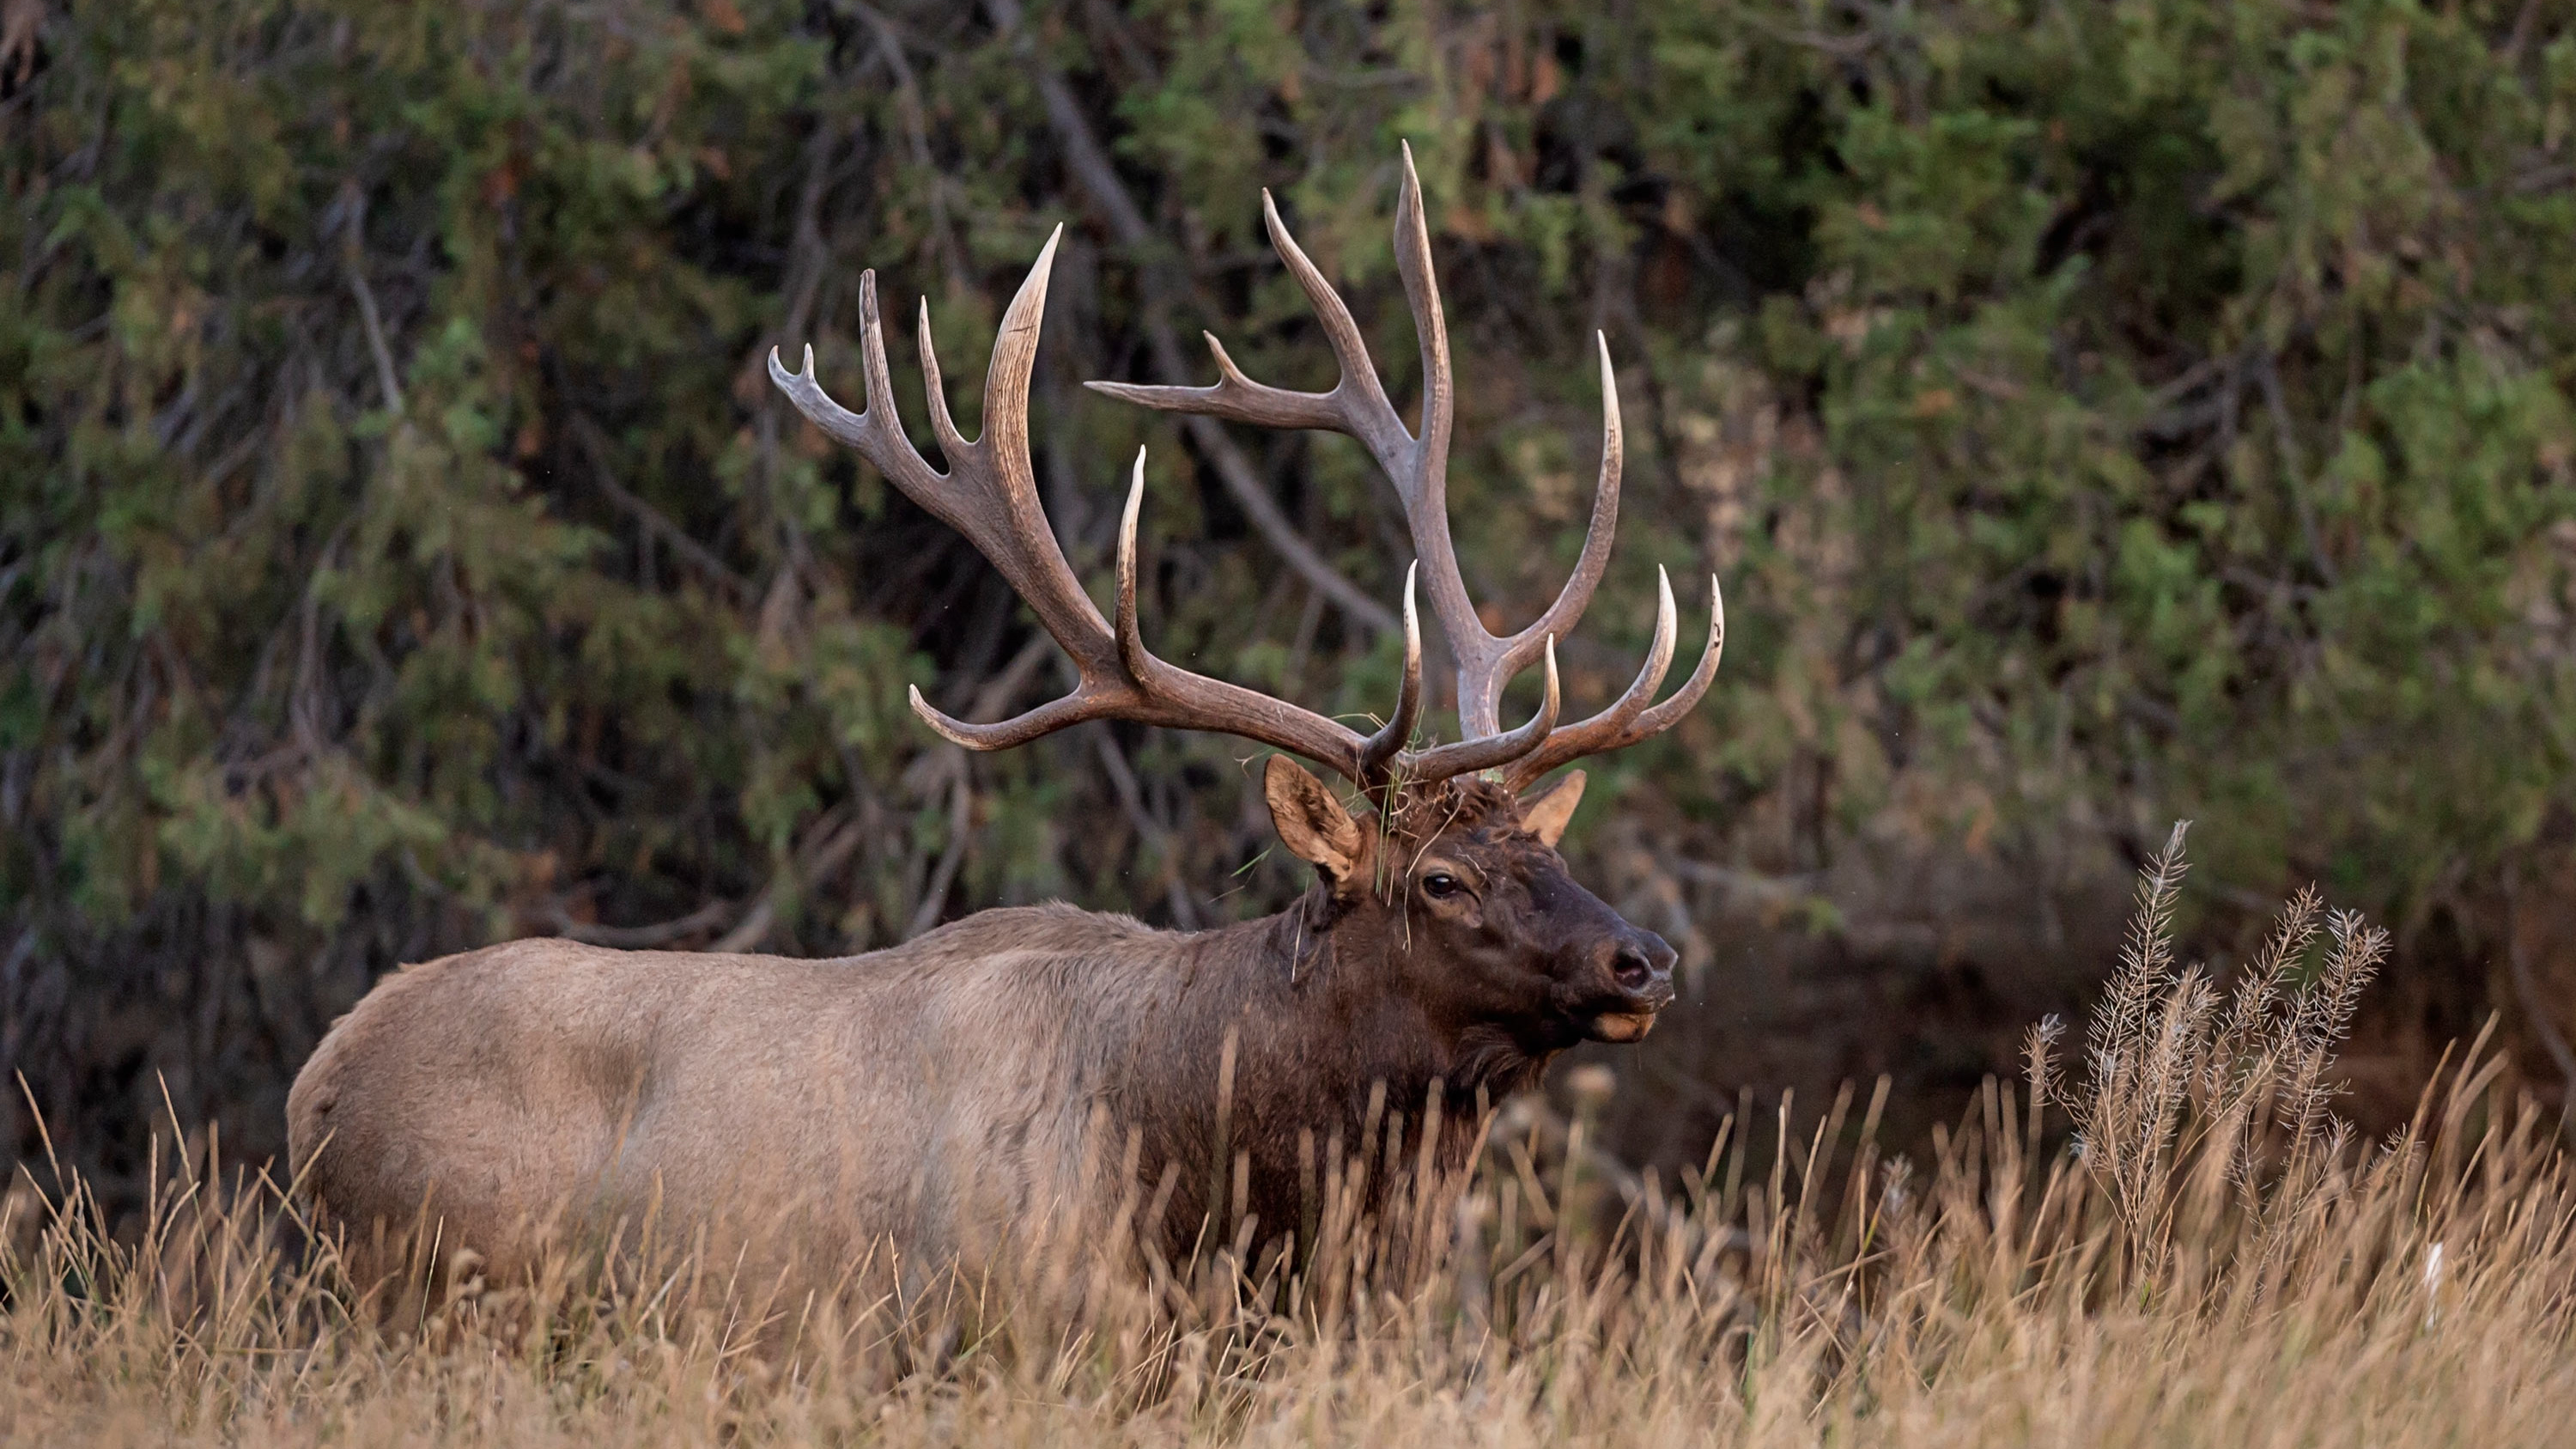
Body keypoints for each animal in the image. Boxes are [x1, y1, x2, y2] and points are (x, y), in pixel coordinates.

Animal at [292, 155, 1721, 1299]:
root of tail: (319, 1077)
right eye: (1440, 877)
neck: (1221, 1188)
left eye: (1548, 850)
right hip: (427, 1286)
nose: (1645, 958)